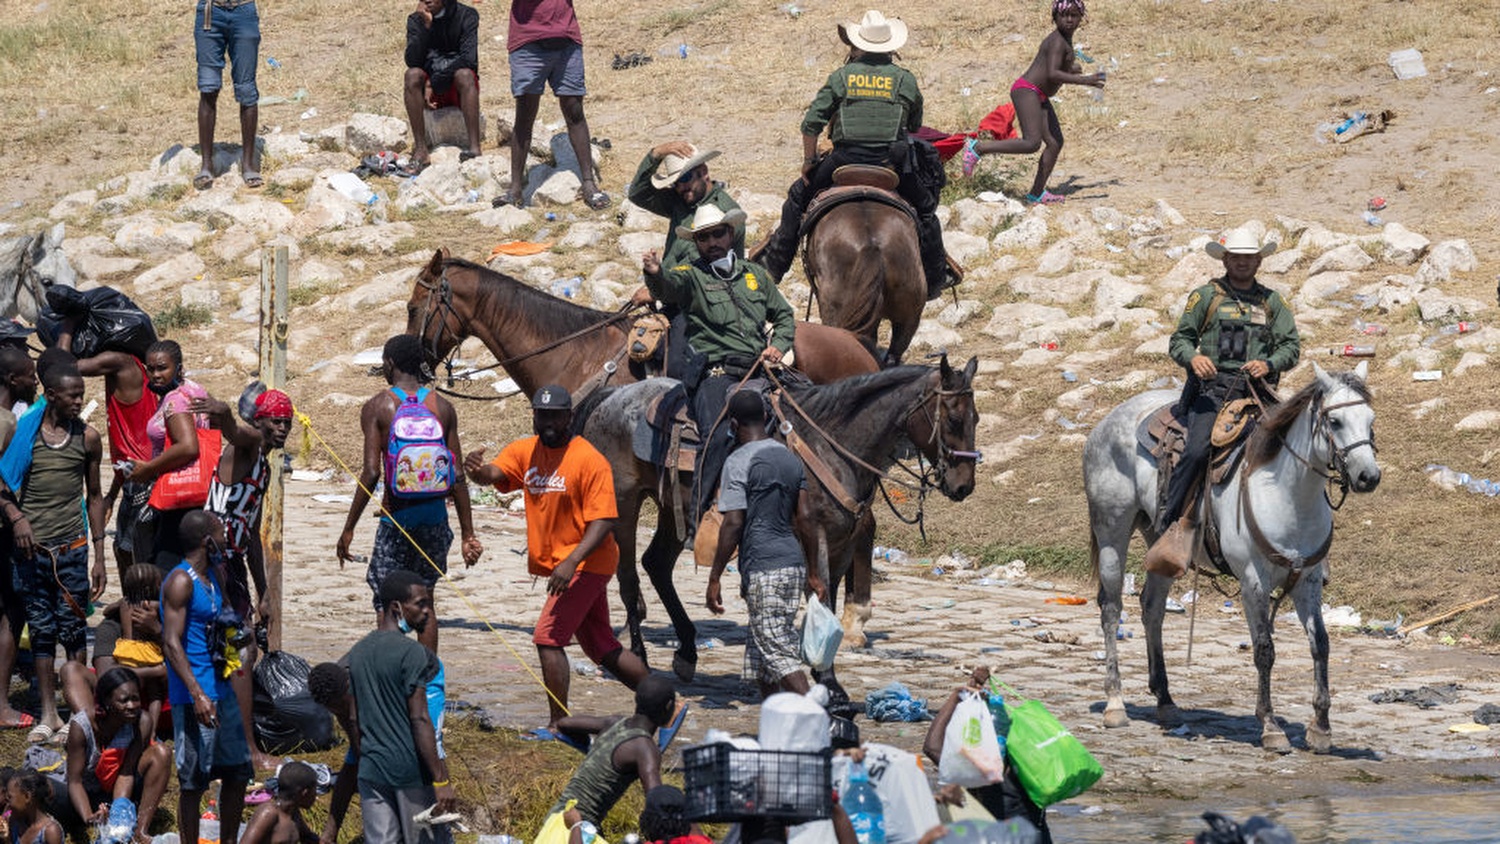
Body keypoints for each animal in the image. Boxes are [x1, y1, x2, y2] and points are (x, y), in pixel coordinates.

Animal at [1080, 361, 1380, 752]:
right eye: (1335, 422)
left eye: (1370, 419)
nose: (1368, 476)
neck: (1288, 495)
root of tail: (1106, 422)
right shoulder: (1253, 581)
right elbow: (1264, 649)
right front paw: (1270, 726)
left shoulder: (1308, 580)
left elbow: (1321, 645)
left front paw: (1321, 728)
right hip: (1112, 532)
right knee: (1112, 609)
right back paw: (1115, 704)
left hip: (1160, 544)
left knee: (1152, 608)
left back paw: (1166, 701)